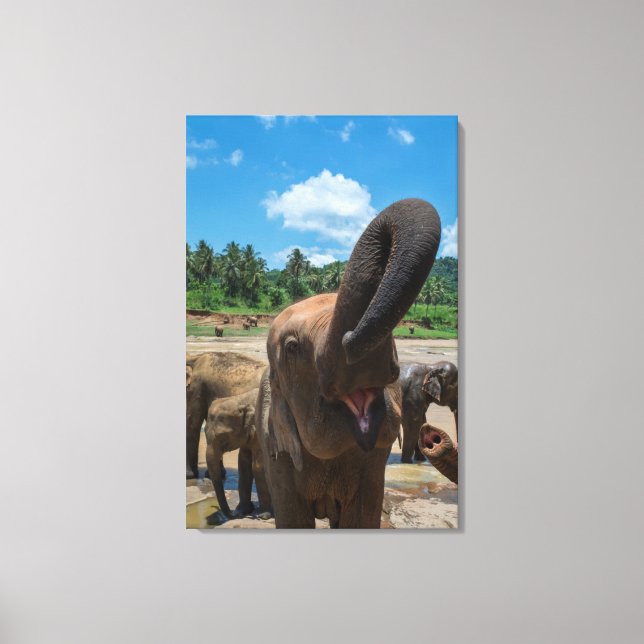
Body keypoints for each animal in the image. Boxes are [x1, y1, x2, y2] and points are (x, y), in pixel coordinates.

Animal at [205, 388, 272, 519]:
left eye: (222, 438)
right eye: (204, 433)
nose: (234, 513)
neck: (240, 399)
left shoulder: (260, 432)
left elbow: (258, 467)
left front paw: (263, 516)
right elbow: (243, 465)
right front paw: (244, 510)